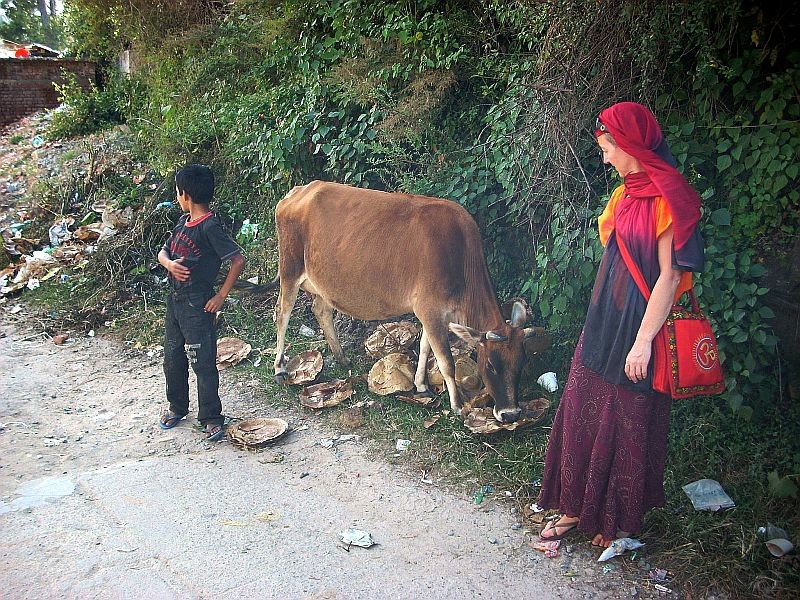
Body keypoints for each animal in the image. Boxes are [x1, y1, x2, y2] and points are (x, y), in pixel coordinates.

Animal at [244, 182, 536, 422]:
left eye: (521, 362)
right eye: (491, 364)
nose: (510, 414)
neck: (461, 259)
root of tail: (298, 191)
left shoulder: (431, 313)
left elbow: (426, 347)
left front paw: (421, 385)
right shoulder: (430, 310)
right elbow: (446, 361)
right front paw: (457, 404)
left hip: (321, 283)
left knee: (321, 310)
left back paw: (342, 358)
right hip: (290, 269)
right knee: (282, 312)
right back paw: (280, 368)